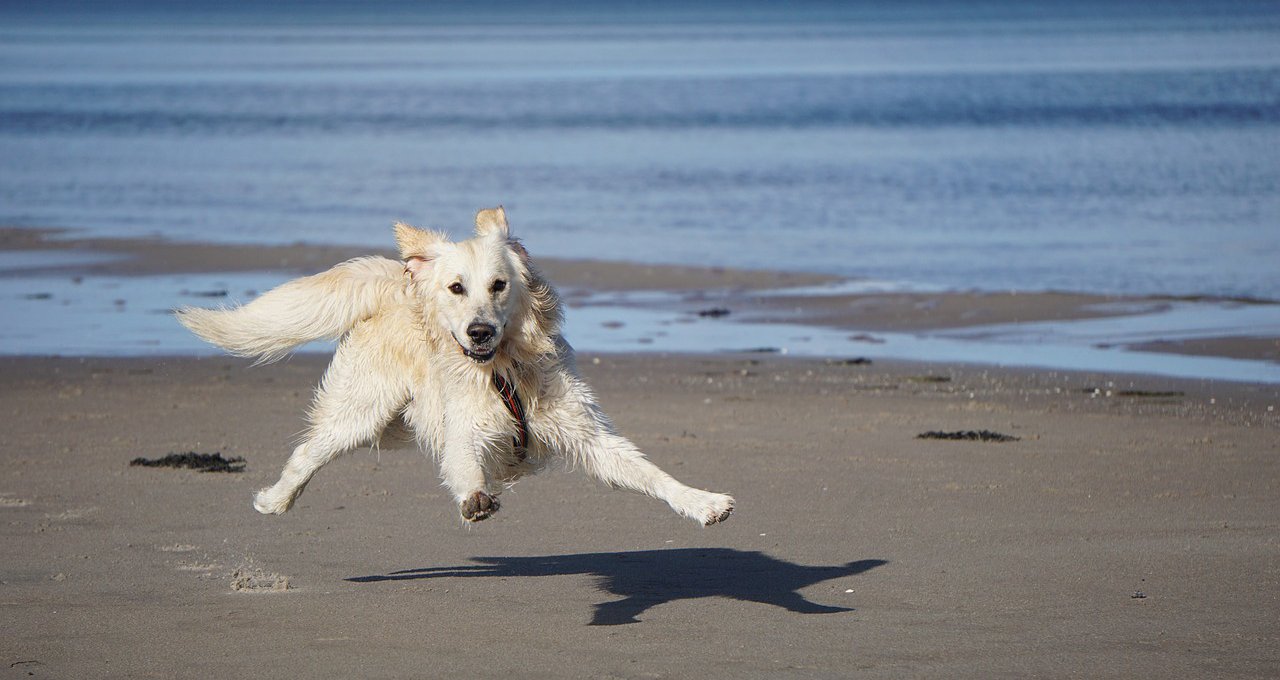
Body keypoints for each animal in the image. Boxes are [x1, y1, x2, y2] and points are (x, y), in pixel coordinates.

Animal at [176, 207, 737, 527]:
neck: (504, 371)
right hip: (361, 412)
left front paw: (702, 502)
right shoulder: (463, 427)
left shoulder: (586, 433)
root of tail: (399, 280)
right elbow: (465, 464)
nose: (480, 331)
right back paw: (275, 500)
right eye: (456, 288)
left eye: (498, 285)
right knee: (307, 452)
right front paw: (474, 498)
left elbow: (650, 473)